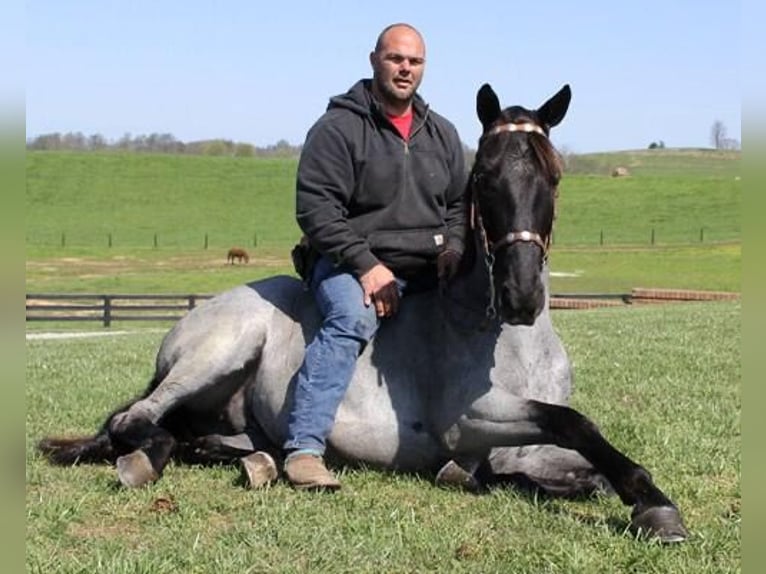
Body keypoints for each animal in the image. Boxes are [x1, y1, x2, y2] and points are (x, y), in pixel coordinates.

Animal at [38, 83, 688, 543]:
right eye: (484, 177)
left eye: (553, 176)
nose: (521, 295)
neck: (503, 339)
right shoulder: (472, 419)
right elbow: (572, 424)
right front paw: (654, 506)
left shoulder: (522, 443)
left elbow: (585, 467)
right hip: (221, 351)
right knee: (139, 421)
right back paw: (150, 461)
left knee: (199, 437)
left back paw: (262, 462)